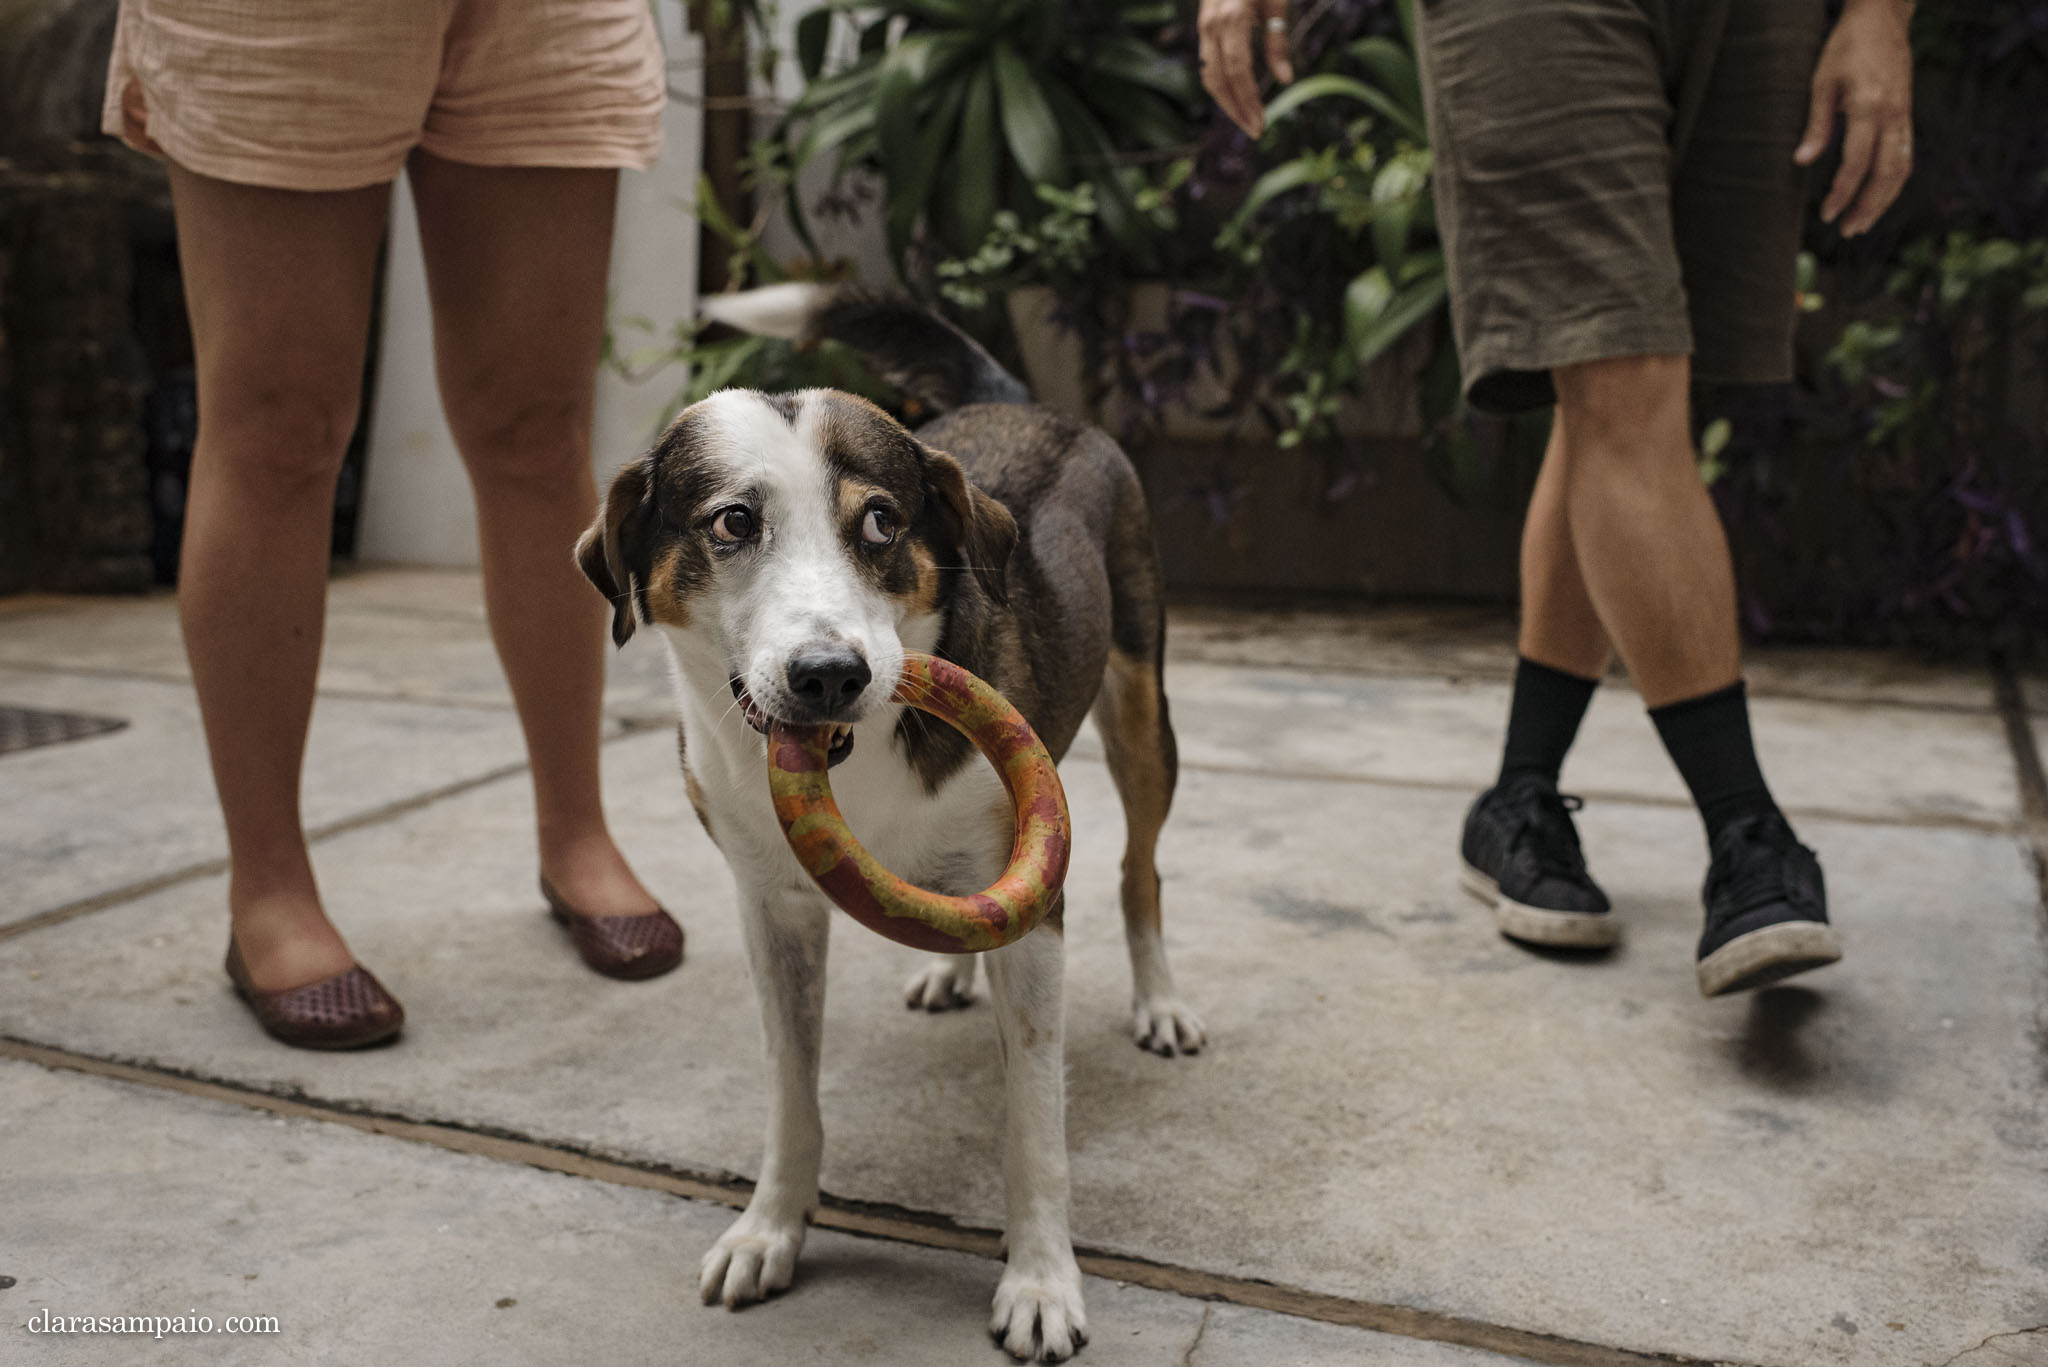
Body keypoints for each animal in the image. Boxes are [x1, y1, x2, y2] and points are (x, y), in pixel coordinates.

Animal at [577, 282, 1196, 1360]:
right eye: (732, 520)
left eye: (879, 522)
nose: (829, 674)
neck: (854, 756)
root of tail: (1025, 402)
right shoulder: (772, 906)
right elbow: (791, 1089)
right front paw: (769, 1230)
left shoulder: (1034, 910)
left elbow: (1033, 1122)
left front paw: (1041, 1280)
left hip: (1137, 697)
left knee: (1140, 866)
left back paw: (1156, 999)